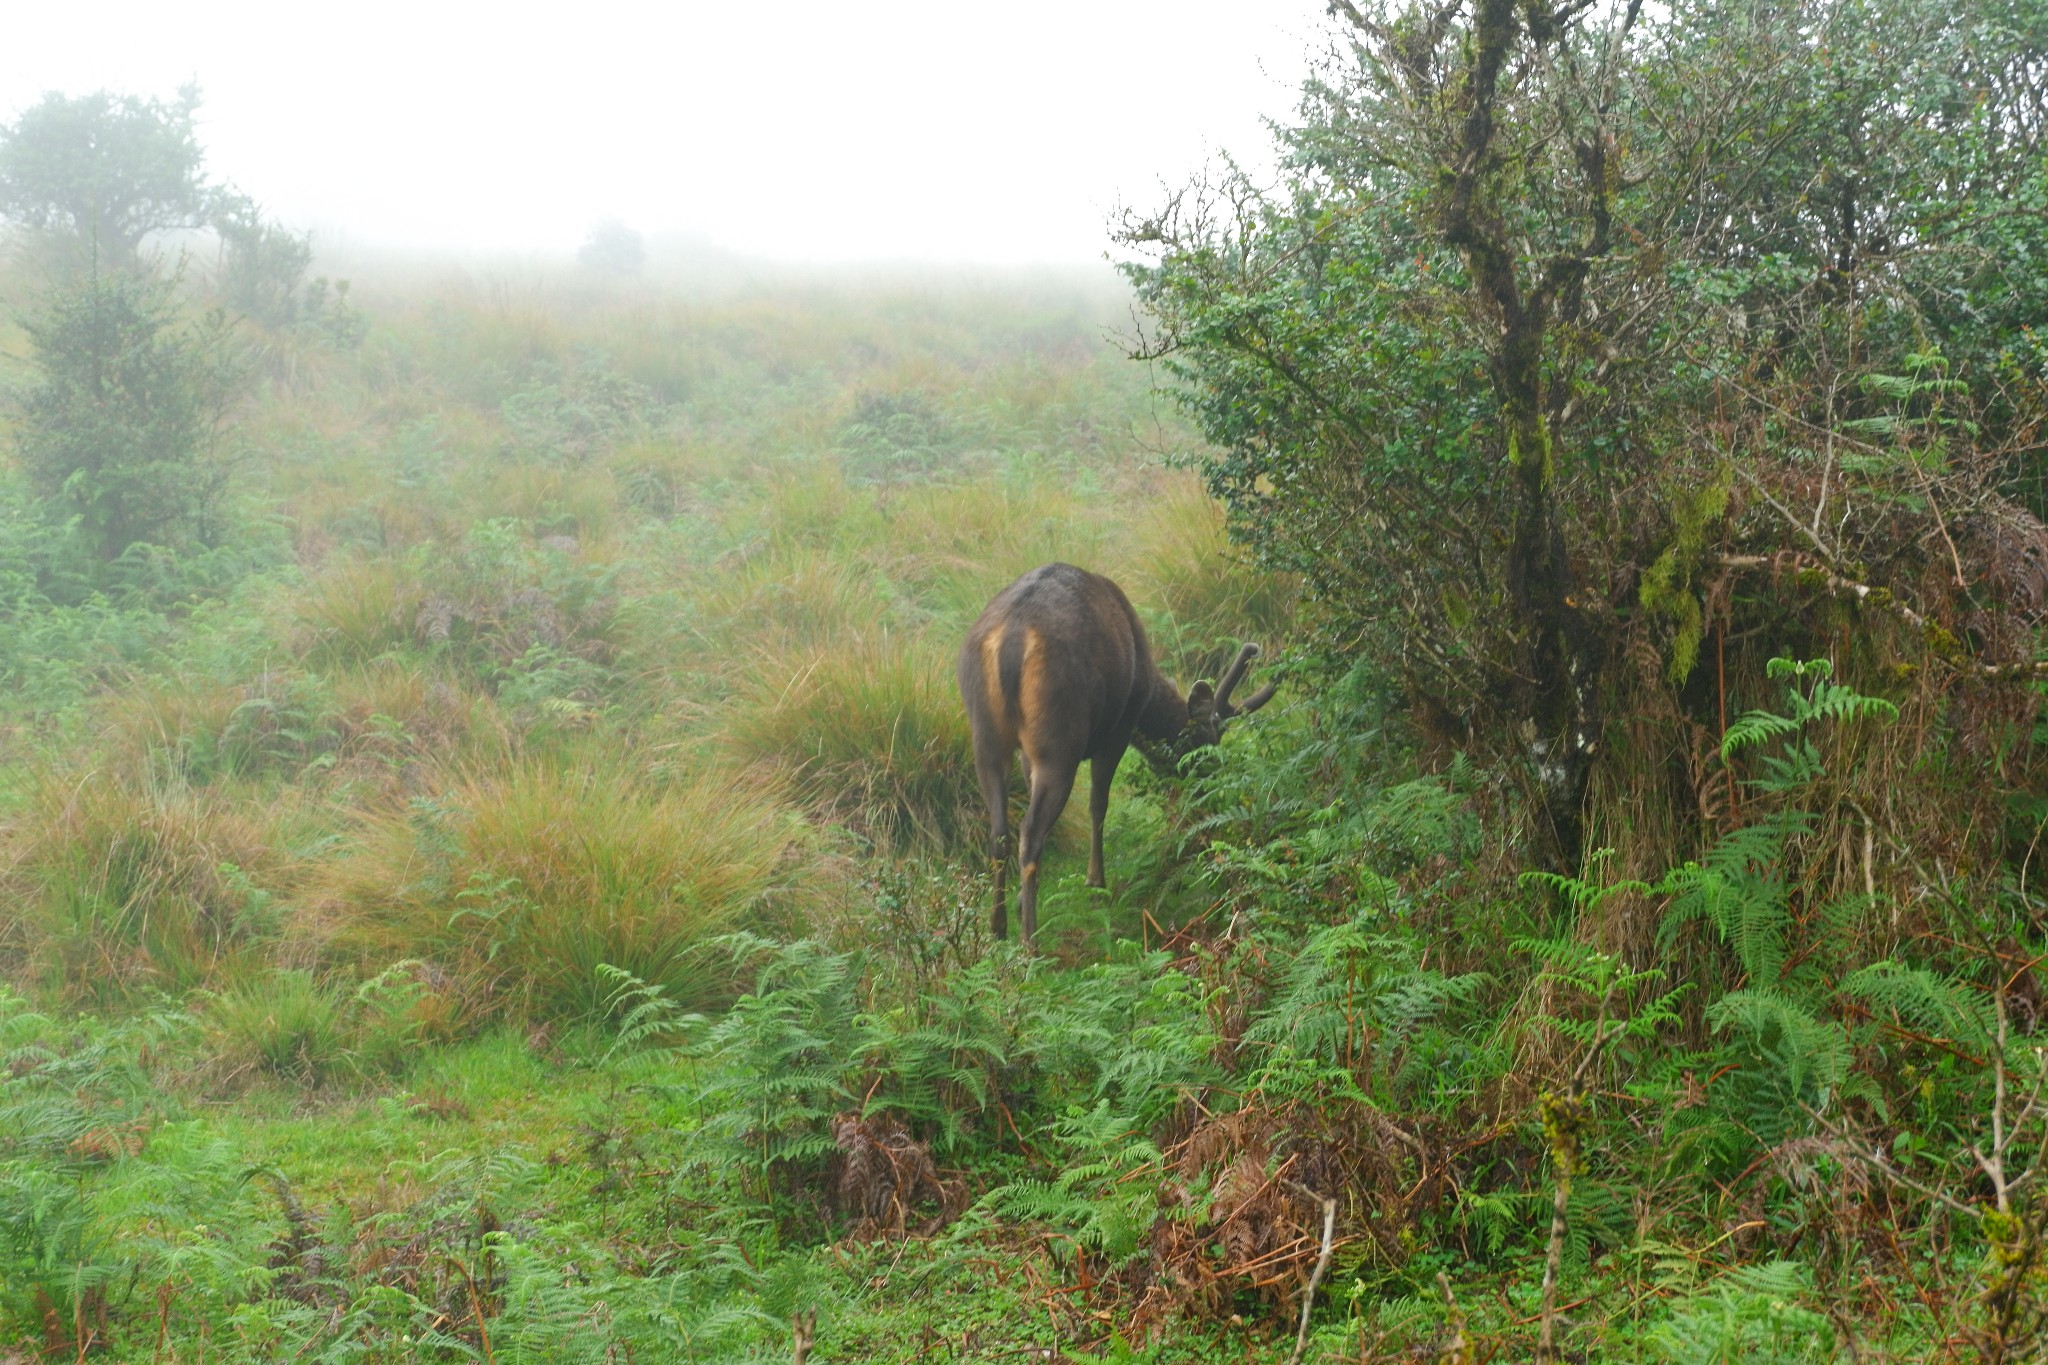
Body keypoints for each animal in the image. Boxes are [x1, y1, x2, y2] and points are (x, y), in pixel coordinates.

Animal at [954, 564, 1269, 949]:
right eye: (1204, 748)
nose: (1210, 796)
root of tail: (1013, 638)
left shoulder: (1027, 753)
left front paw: (1018, 902)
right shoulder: (1121, 725)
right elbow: (1098, 803)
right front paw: (1095, 882)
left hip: (985, 734)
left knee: (999, 831)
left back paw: (998, 926)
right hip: (1060, 735)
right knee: (1030, 833)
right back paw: (1030, 941)